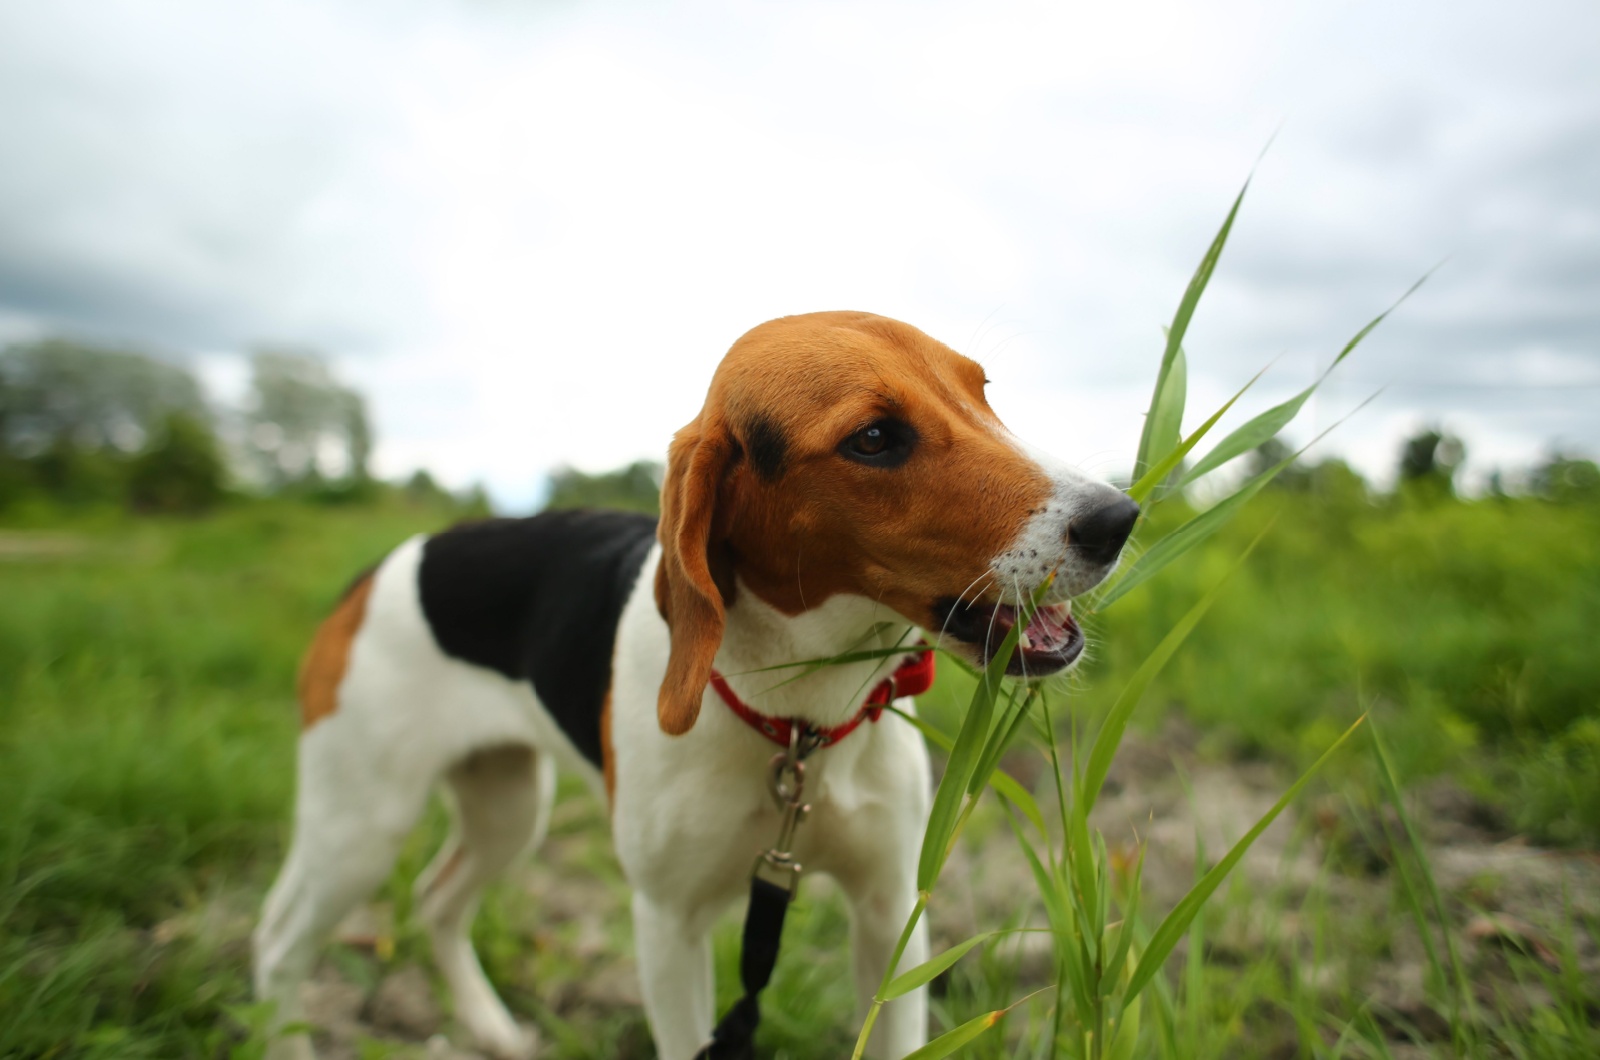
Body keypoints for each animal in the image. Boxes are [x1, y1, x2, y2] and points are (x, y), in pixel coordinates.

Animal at [252, 312, 1139, 1056]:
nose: (1119, 519)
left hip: (507, 806)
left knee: (437, 903)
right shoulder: (669, 929)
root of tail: (381, 569)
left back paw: (494, 1030)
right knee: (279, 946)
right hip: (360, 827)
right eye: (875, 438)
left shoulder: (891, 910)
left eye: (981, 392)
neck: (799, 718)